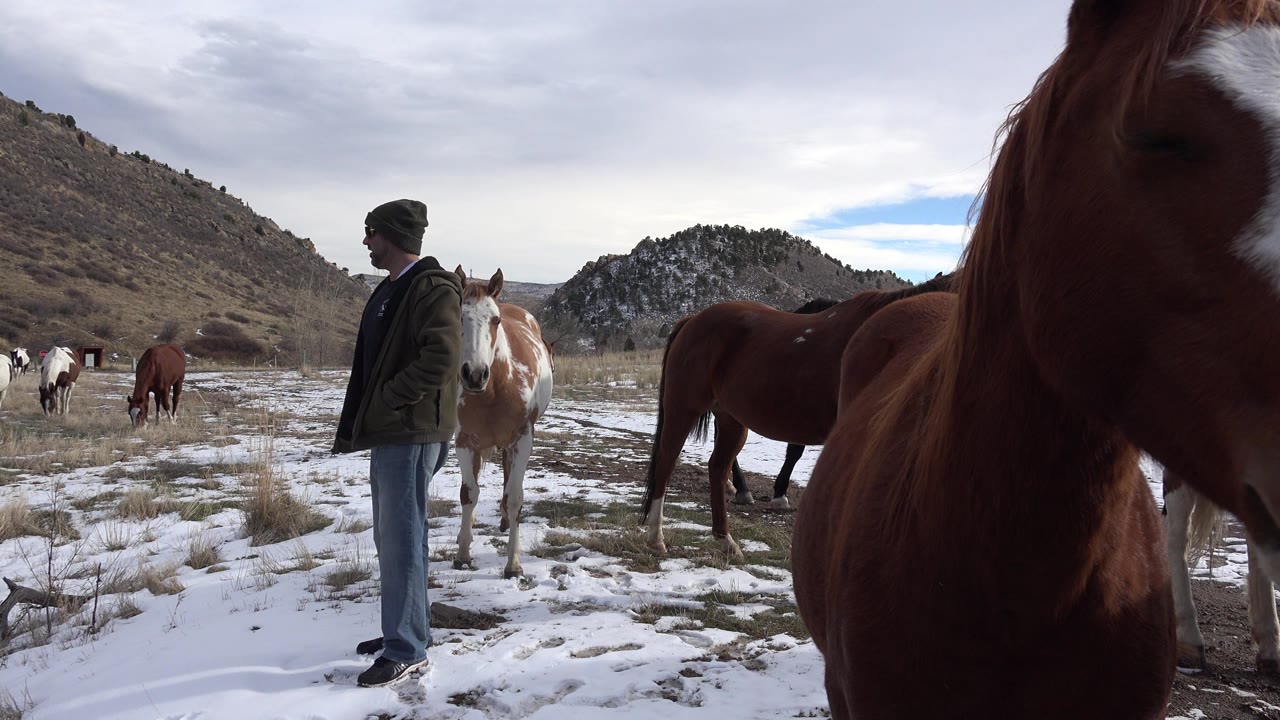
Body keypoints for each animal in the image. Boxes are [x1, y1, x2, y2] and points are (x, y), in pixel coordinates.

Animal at [451, 266, 554, 579]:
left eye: (495, 320)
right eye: (459, 316)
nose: (474, 374)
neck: (496, 387)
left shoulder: (522, 439)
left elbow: (515, 497)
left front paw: (513, 564)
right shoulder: (465, 442)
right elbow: (468, 493)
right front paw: (462, 553)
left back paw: (507, 521)